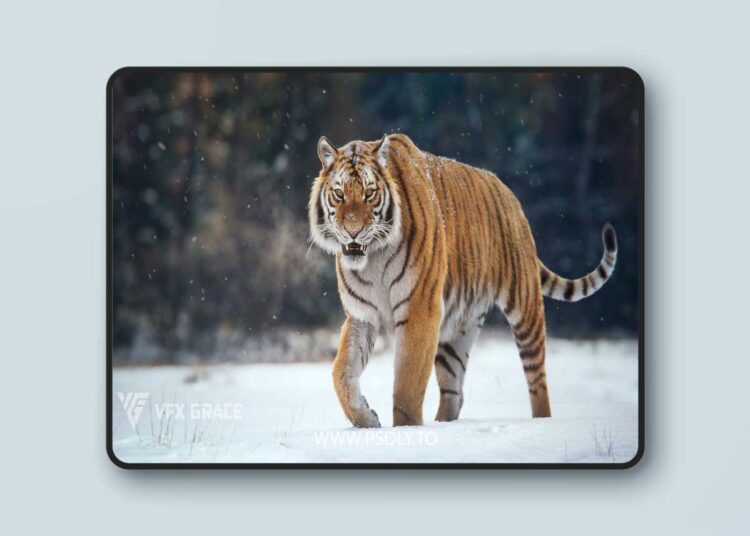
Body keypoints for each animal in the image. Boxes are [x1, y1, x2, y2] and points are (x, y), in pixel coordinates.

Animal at [308, 133, 617, 427]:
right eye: (339, 194)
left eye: (370, 194)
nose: (353, 232)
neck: (373, 257)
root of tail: (509, 194)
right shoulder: (362, 316)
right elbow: (341, 373)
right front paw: (367, 418)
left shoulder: (420, 310)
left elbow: (407, 386)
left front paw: (405, 430)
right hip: (458, 331)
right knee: (454, 393)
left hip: (525, 307)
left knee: (538, 381)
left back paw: (542, 421)